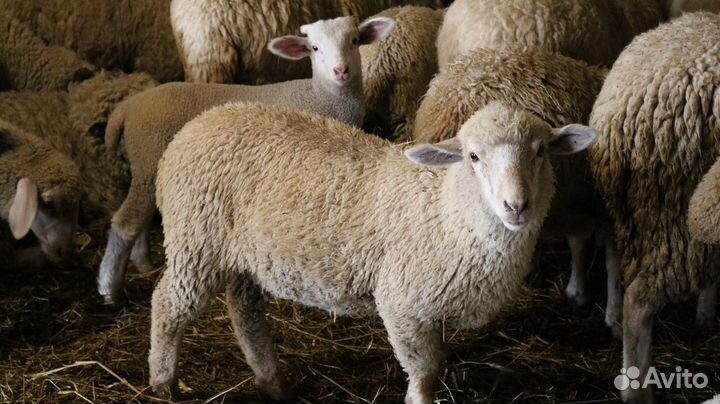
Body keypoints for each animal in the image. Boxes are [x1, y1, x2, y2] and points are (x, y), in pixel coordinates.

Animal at [97, 16, 396, 306]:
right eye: (314, 48)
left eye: (355, 40)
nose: (340, 71)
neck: (321, 95)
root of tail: (128, 107)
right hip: (149, 157)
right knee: (125, 221)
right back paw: (110, 290)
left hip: (148, 168)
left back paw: (143, 263)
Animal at [149, 101, 598, 403]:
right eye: (473, 156)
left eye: (540, 151)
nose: (516, 206)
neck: (447, 211)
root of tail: (202, 120)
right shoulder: (402, 304)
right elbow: (425, 373)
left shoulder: (430, 308)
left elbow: (438, 362)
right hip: (195, 240)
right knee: (168, 305)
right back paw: (163, 382)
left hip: (242, 255)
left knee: (244, 310)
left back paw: (273, 381)